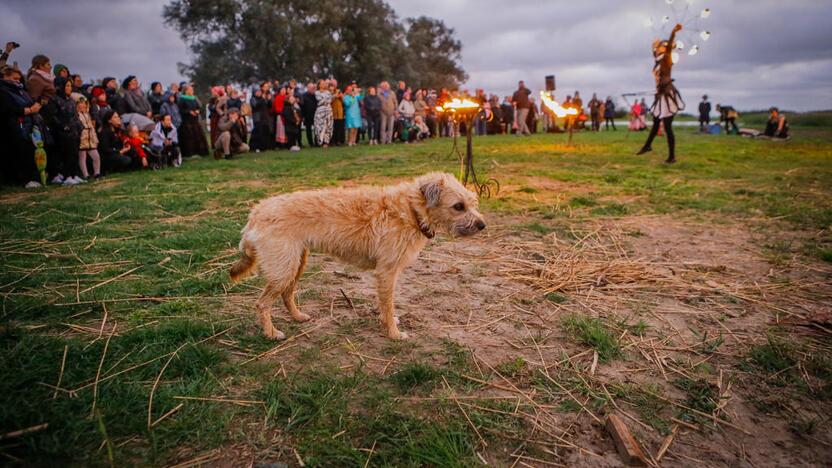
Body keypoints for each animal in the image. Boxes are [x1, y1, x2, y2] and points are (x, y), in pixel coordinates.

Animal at [229, 172, 488, 340]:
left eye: (472, 203)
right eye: (458, 206)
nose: (482, 225)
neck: (411, 210)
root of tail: (256, 213)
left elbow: (385, 304)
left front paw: (388, 323)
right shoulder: (387, 271)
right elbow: (388, 304)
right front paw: (393, 333)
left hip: (295, 263)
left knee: (286, 294)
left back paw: (298, 317)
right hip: (283, 268)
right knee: (262, 303)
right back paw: (271, 333)